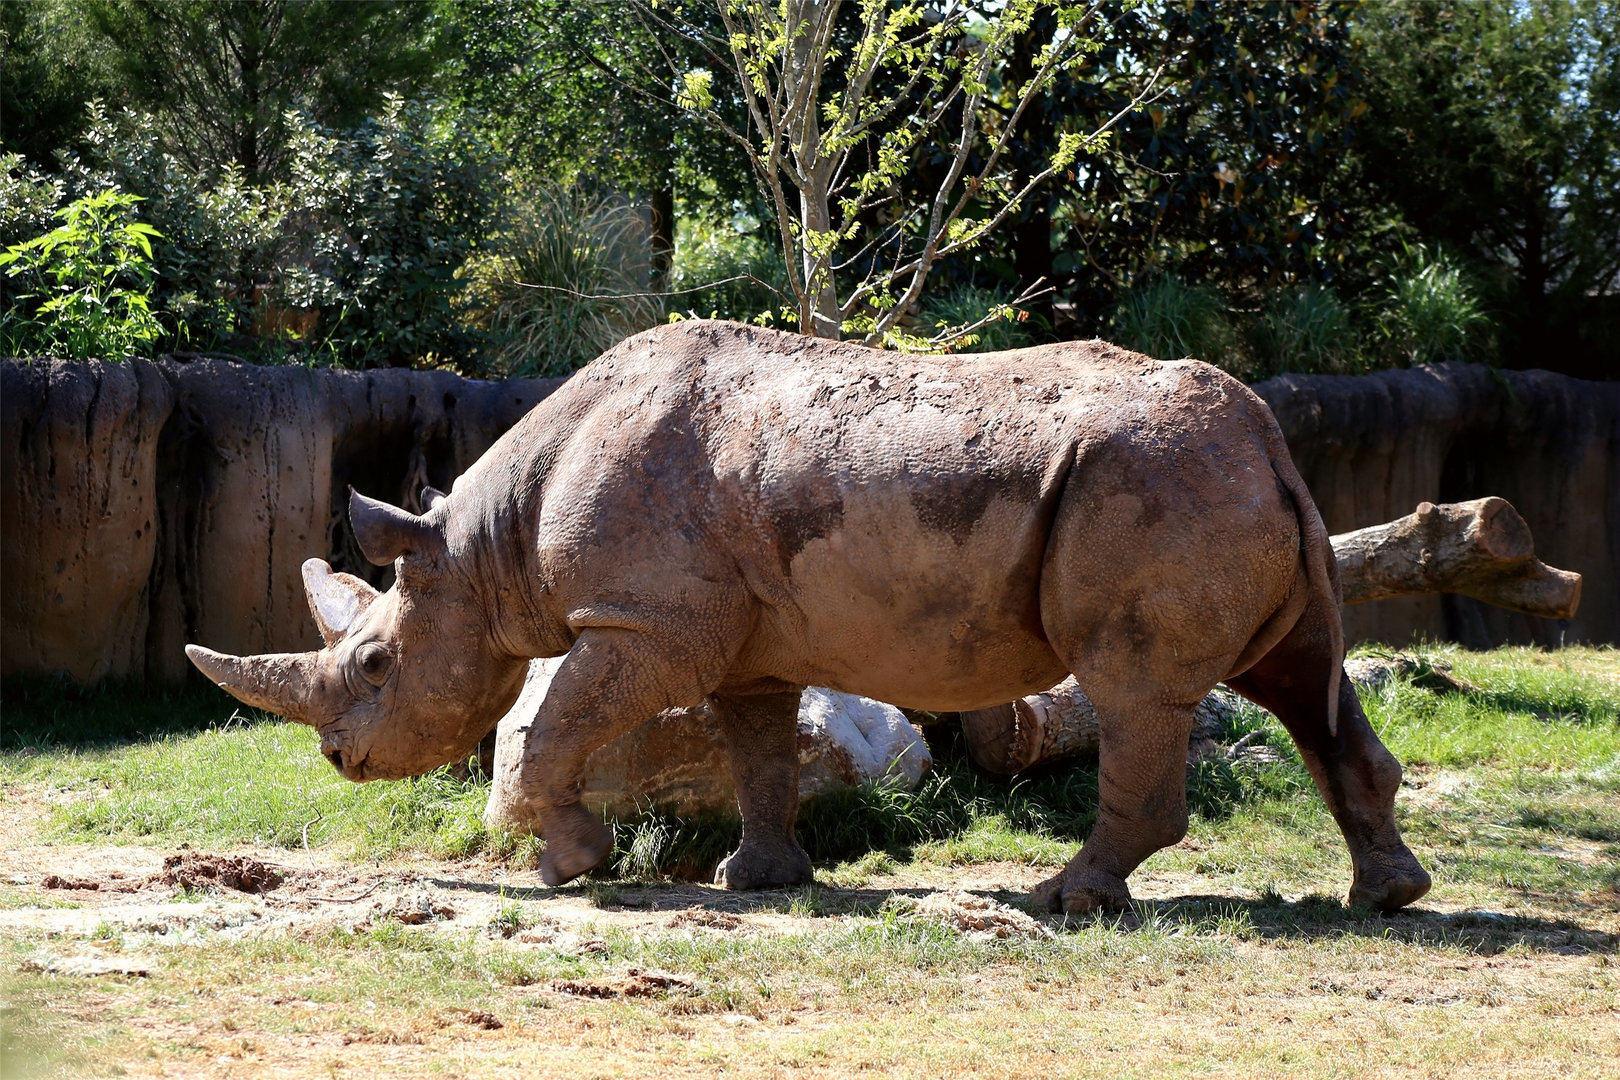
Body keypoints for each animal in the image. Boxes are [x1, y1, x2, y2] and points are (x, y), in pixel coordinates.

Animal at [186, 320, 1431, 914]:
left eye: (375, 662)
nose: (340, 760)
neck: (482, 550)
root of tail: (1270, 438)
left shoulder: (642, 624)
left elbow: (551, 735)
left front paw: (571, 867)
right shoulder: (735, 641)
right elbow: (759, 747)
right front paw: (761, 879)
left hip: (1155, 485)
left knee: (1138, 691)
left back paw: (1066, 901)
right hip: (1221, 489)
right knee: (1299, 682)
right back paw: (1386, 897)